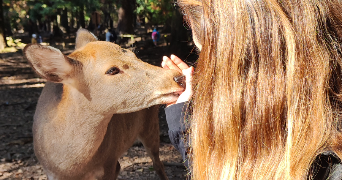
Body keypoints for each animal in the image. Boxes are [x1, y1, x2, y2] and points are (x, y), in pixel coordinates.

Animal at [23, 28, 184, 179]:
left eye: (134, 55)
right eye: (112, 70)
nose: (178, 77)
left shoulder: (110, 162)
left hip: (150, 126)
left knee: (157, 163)